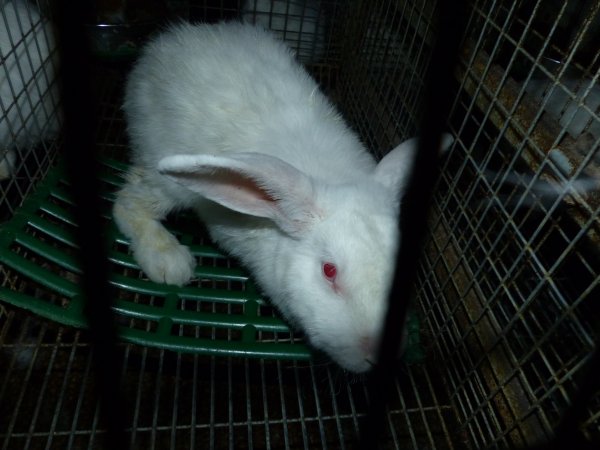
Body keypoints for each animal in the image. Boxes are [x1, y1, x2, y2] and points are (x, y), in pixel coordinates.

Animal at [112, 22, 452, 372]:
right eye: (329, 271)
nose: (378, 356)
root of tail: (167, 41)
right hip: (167, 180)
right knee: (128, 202)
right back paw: (169, 261)